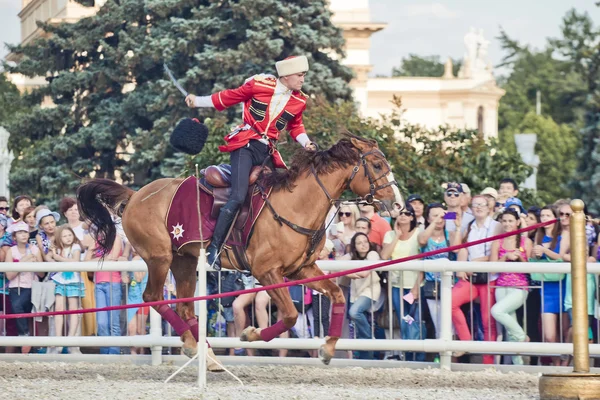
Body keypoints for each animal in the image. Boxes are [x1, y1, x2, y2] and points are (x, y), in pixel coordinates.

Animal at [76, 134, 404, 366]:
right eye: (377, 166)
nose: (398, 205)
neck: (296, 205)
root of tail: (135, 196)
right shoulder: (266, 271)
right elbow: (288, 315)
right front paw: (251, 334)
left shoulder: (302, 269)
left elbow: (337, 295)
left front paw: (327, 347)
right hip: (160, 258)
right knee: (153, 297)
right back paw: (196, 347)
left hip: (184, 261)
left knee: (183, 306)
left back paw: (203, 352)